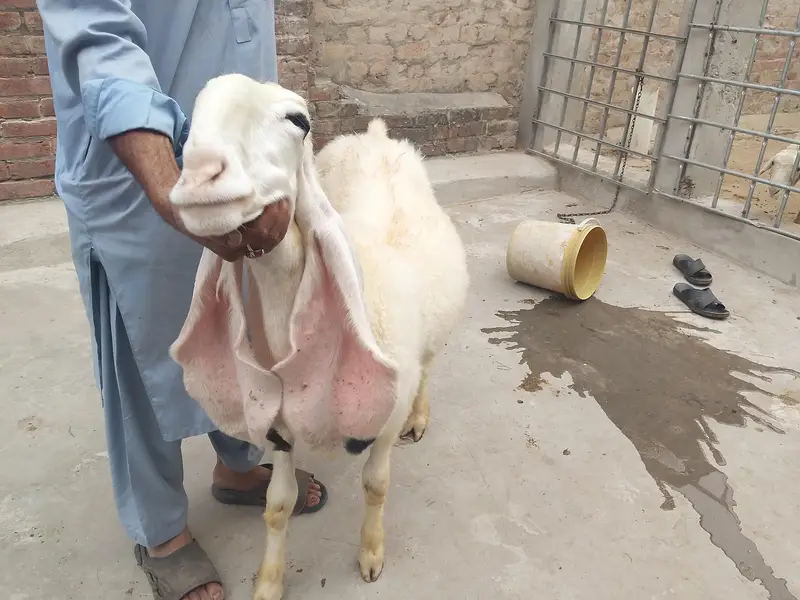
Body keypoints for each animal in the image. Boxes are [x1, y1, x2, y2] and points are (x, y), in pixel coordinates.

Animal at [167, 73, 470, 600]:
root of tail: (375, 135)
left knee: (429, 366)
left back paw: (421, 416)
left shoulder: (384, 416)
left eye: (298, 120)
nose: (202, 177)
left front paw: (371, 553)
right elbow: (277, 505)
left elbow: (376, 485)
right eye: (191, 116)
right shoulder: (278, 425)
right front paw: (269, 582)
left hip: (430, 336)